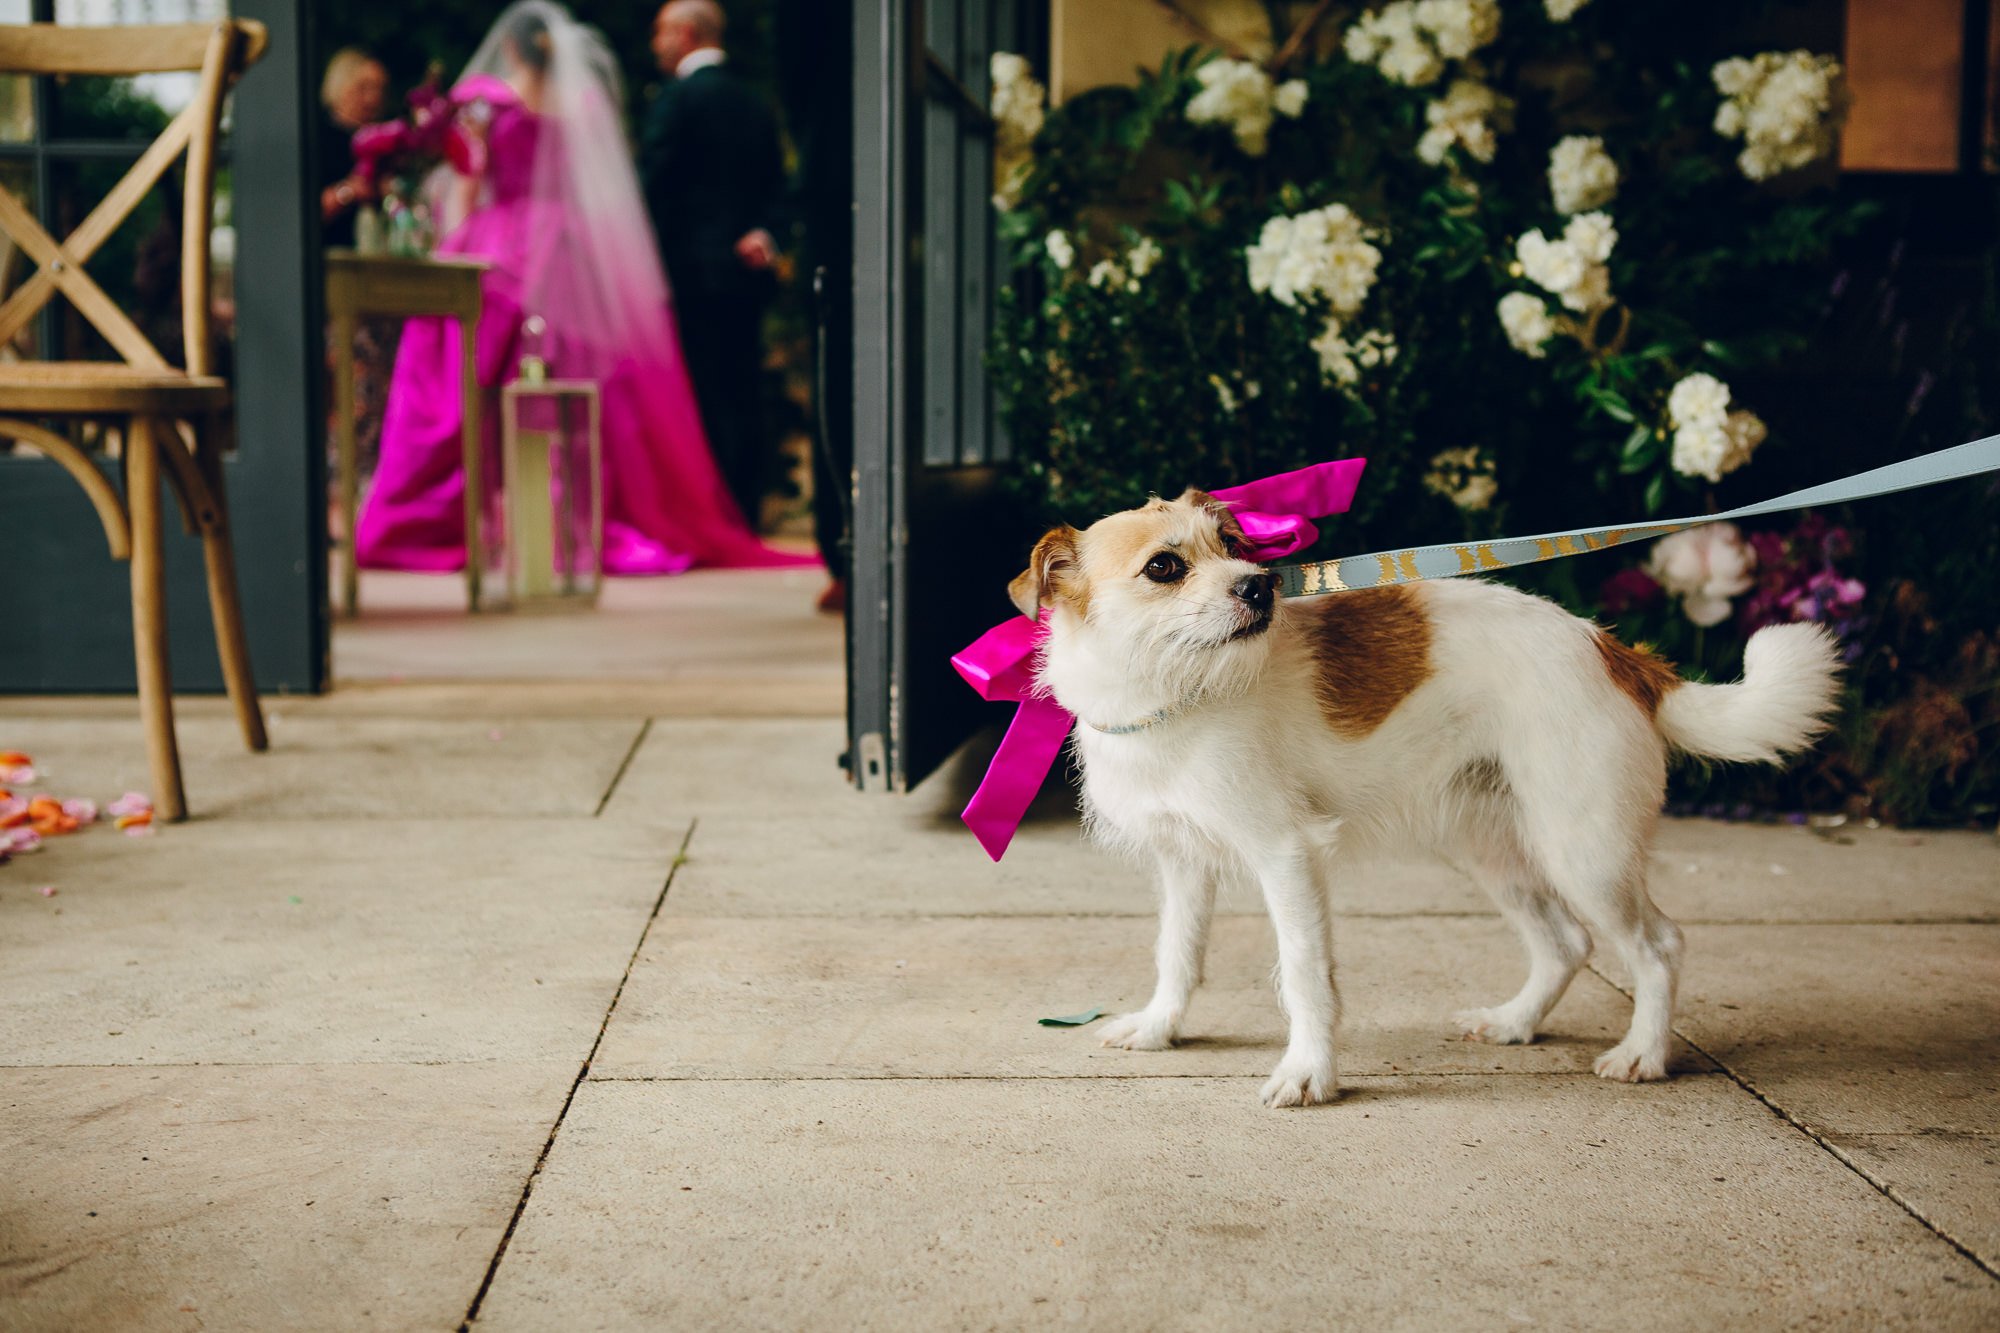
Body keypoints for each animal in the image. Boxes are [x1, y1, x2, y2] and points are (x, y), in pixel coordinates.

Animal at [1016, 486, 1840, 1096]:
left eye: (1234, 548)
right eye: (1164, 566)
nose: (1260, 587)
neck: (1176, 695)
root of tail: (1615, 652)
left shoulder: (1287, 855)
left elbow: (1305, 974)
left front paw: (1310, 1072)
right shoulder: (1184, 863)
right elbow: (1177, 954)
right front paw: (1161, 1027)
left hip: (1586, 853)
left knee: (1658, 944)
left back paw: (1644, 1052)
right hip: (1492, 849)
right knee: (1567, 942)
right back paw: (1516, 1022)